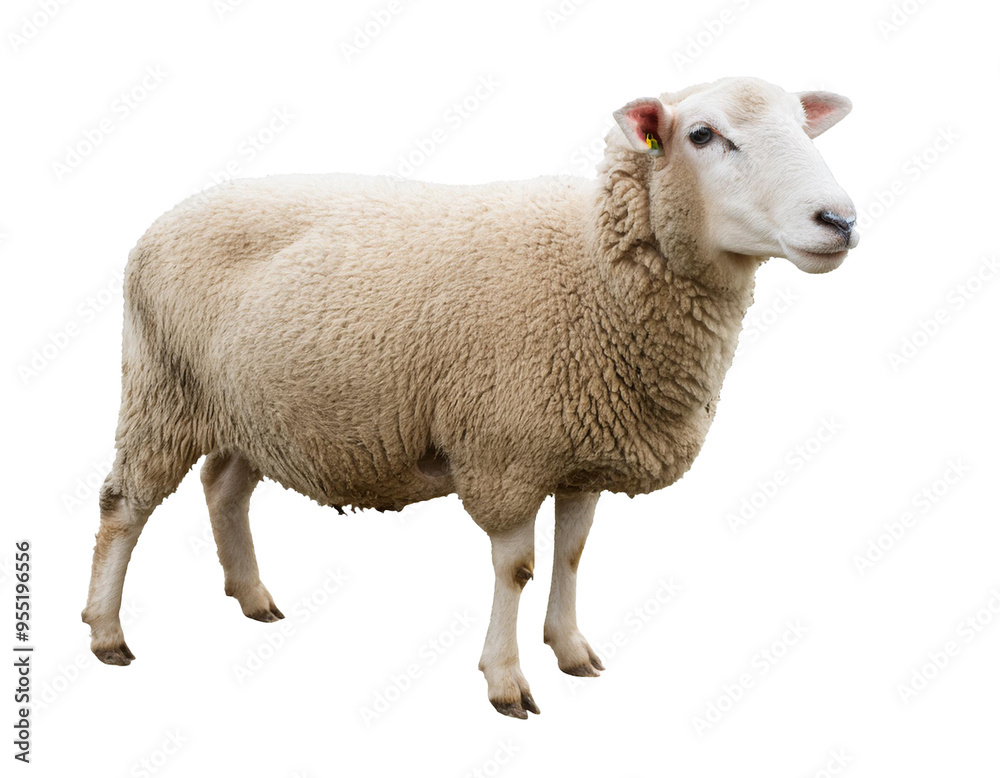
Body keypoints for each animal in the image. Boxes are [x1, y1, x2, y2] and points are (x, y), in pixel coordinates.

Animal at [82, 76, 859, 718]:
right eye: (702, 135)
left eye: (803, 125)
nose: (840, 220)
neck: (594, 271)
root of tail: (174, 212)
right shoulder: (506, 452)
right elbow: (517, 568)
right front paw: (506, 681)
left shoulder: (580, 452)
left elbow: (573, 554)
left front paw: (571, 650)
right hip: (162, 384)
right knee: (125, 505)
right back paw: (107, 633)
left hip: (255, 405)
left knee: (224, 488)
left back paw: (252, 597)